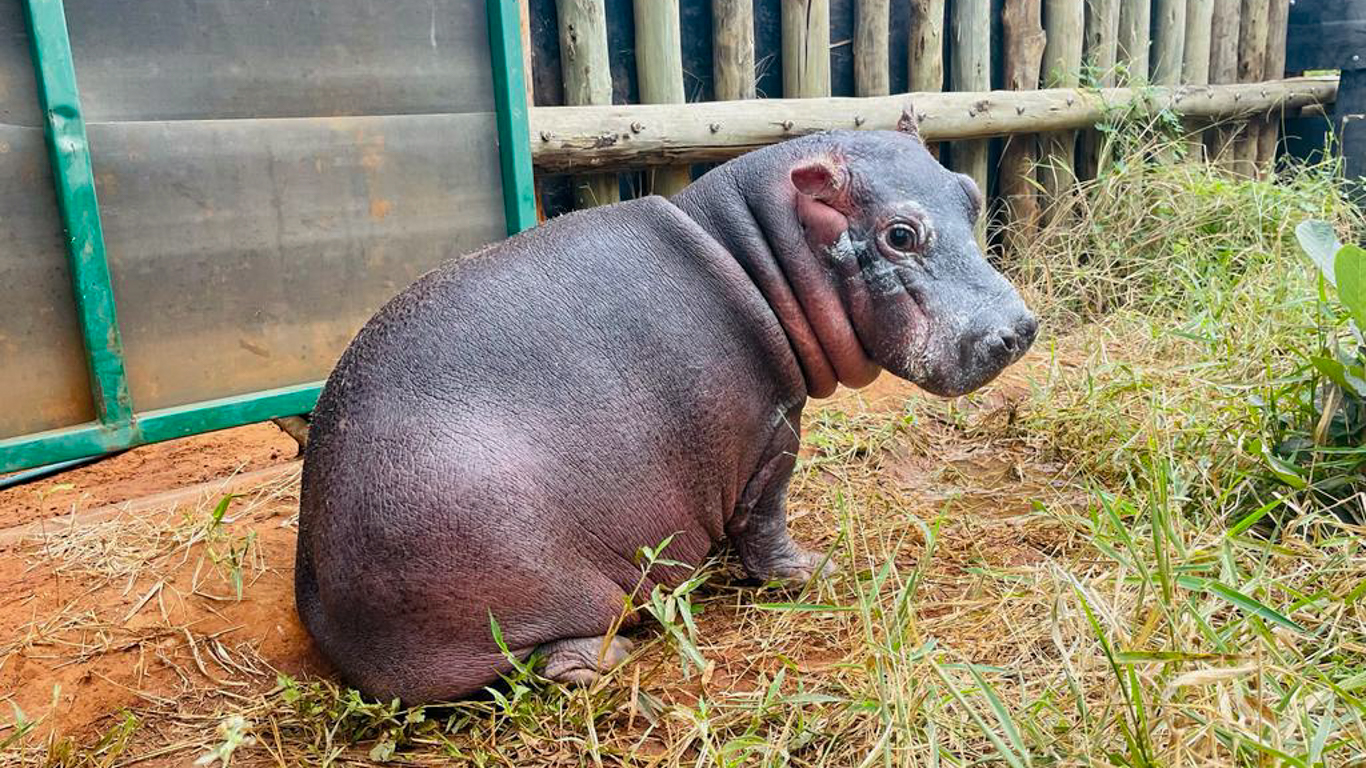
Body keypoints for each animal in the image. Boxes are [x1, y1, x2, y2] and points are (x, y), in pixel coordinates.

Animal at [290, 113, 1032, 699]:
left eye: (970, 194)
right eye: (899, 234)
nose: (1019, 328)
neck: (758, 249)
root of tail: (316, 584)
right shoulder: (770, 437)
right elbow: (765, 520)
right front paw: (811, 571)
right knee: (534, 658)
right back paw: (608, 658)